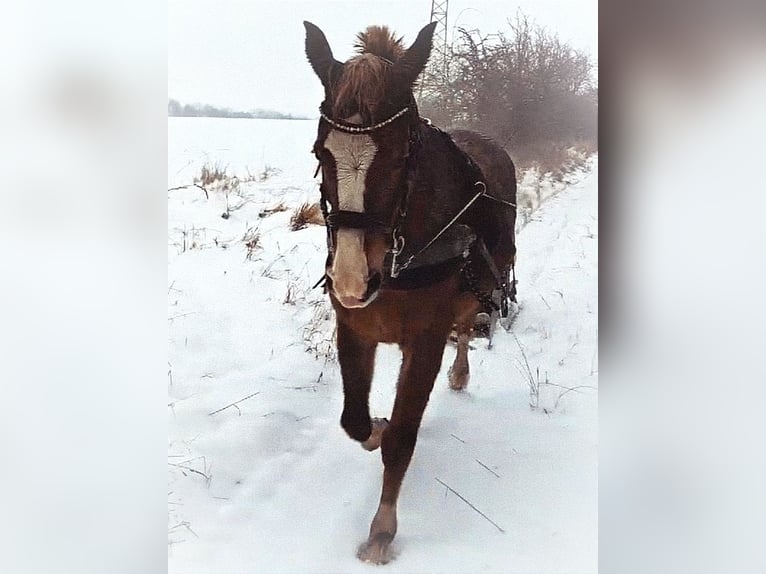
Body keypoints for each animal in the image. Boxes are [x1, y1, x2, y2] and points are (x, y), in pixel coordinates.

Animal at [304, 20, 520, 564]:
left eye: (402, 154)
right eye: (321, 152)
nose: (353, 280)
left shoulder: (423, 339)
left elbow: (403, 437)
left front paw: (382, 530)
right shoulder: (353, 328)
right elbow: (355, 421)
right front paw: (375, 429)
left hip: (478, 290)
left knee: (465, 325)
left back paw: (460, 370)